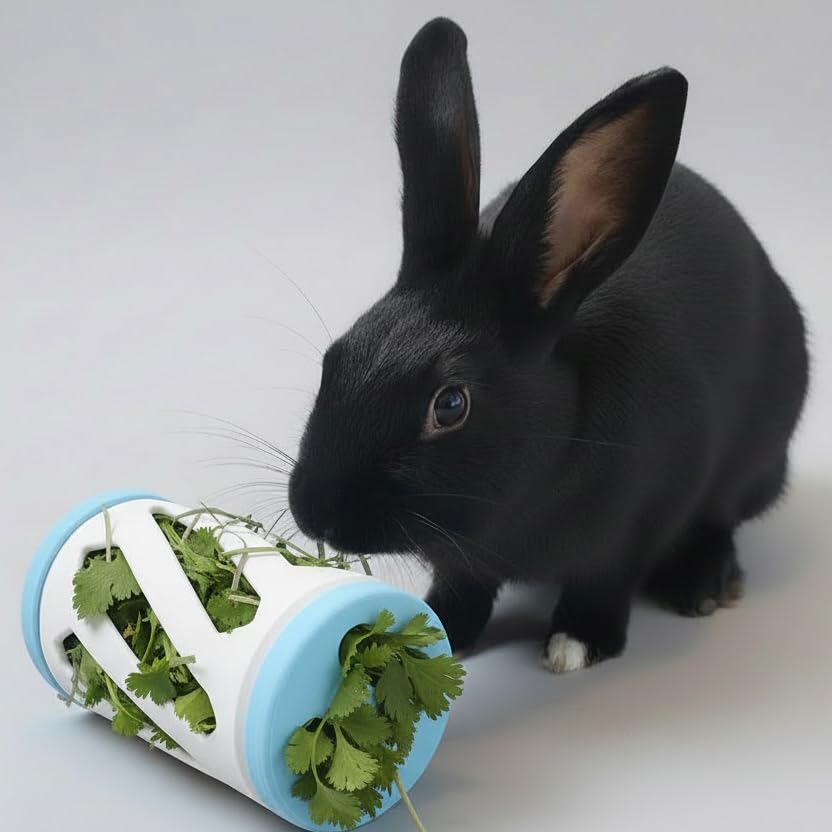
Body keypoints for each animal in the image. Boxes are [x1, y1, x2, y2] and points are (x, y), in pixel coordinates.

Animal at [288, 17, 809, 672]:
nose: (315, 513)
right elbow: (462, 587)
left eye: (450, 404)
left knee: (721, 518)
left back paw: (702, 584)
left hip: (757, 458)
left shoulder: (636, 527)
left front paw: (577, 644)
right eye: (334, 359)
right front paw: (439, 631)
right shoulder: (463, 561)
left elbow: (604, 581)